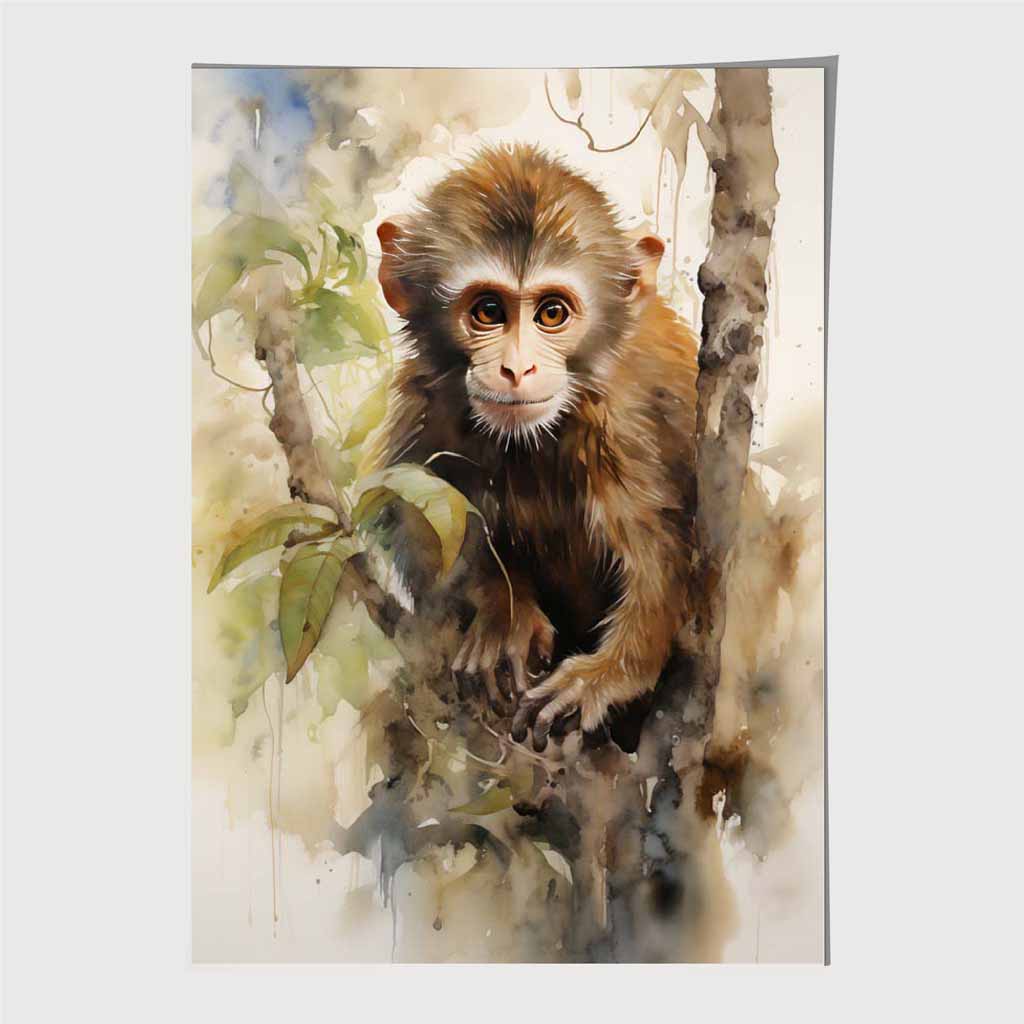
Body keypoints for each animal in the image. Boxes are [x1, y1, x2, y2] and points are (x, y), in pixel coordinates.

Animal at [373, 143, 699, 751]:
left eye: (552, 313)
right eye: (488, 312)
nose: (517, 368)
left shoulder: (628, 429)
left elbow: (669, 561)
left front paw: (608, 675)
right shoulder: (429, 412)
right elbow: (423, 533)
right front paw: (504, 614)